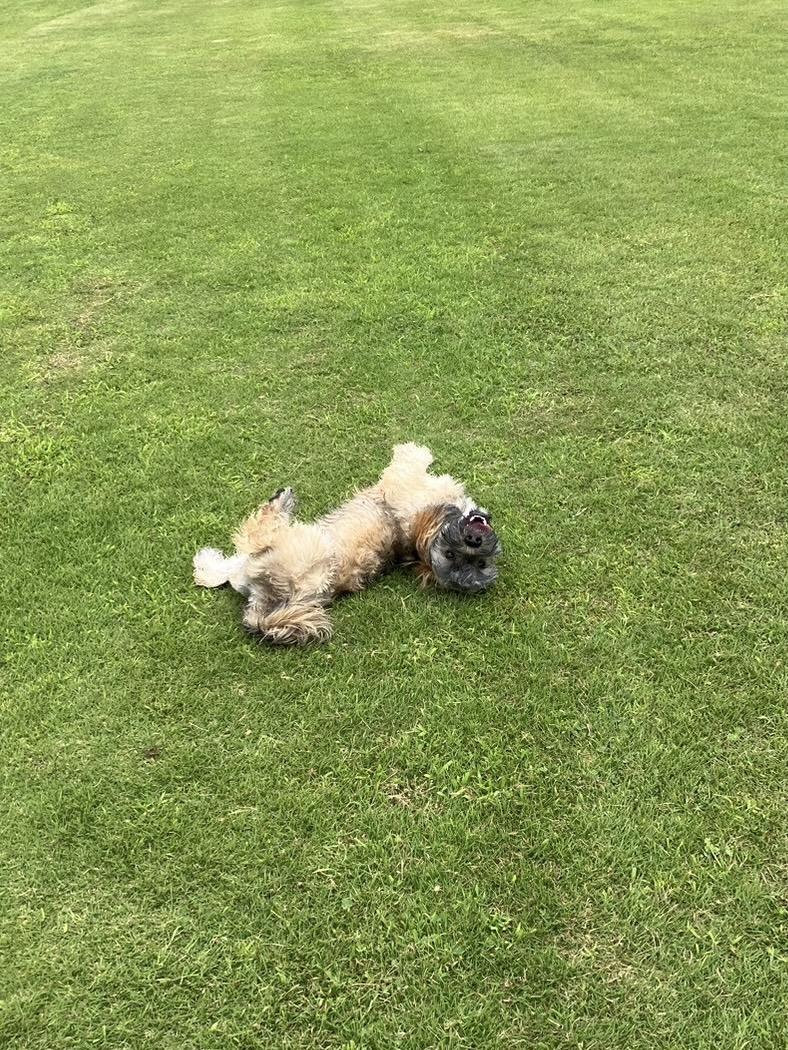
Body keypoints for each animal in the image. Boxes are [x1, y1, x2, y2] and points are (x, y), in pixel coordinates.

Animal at [193, 443, 502, 646]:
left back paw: (281, 501)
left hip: (308, 547)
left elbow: (408, 462)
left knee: (257, 535)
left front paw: (414, 450)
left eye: (479, 563)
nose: (474, 540)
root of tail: (268, 605)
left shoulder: (400, 483)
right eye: (451, 554)